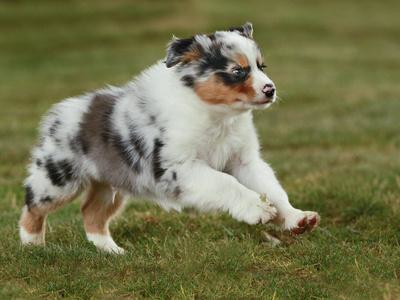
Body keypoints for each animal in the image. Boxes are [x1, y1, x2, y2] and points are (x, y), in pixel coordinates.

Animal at [18, 22, 320, 253]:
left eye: (261, 67)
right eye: (237, 71)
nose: (270, 89)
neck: (216, 114)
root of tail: (59, 112)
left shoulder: (245, 160)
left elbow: (273, 189)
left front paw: (297, 219)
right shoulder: (180, 167)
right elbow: (226, 183)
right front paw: (257, 209)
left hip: (110, 183)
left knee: (91, 213)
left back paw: (112, 252)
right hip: (59, 180)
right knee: (32, 206)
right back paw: (33, 247)